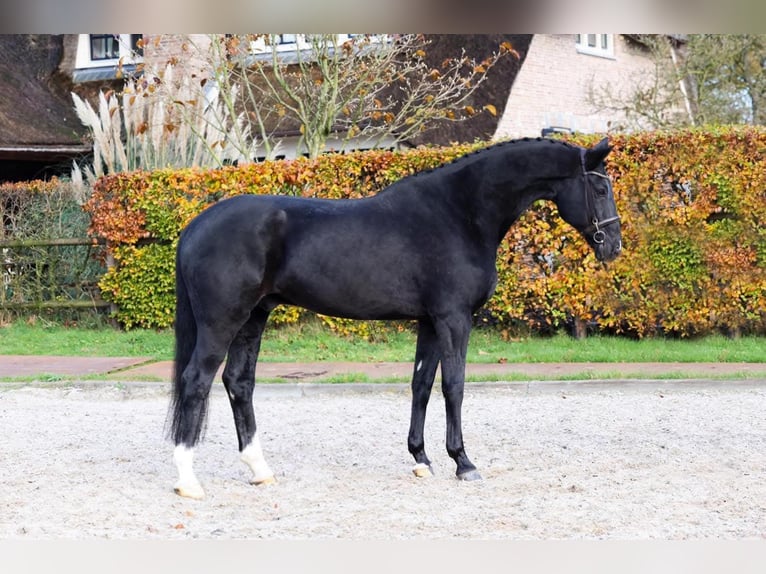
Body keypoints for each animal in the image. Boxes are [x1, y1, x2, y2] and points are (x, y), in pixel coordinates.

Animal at [168, 137, 622, 499]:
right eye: (600, 186)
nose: (614, 246)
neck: (460, 213)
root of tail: (196, 226)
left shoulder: (429, 322)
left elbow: (421, 385)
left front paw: (422, 459)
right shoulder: (454, 319)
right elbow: (454, 386)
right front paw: (463, 462)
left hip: (253, 319)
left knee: (238, 382)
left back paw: (260, 470)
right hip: (222, 322)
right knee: (196, 381)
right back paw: (188, 482)